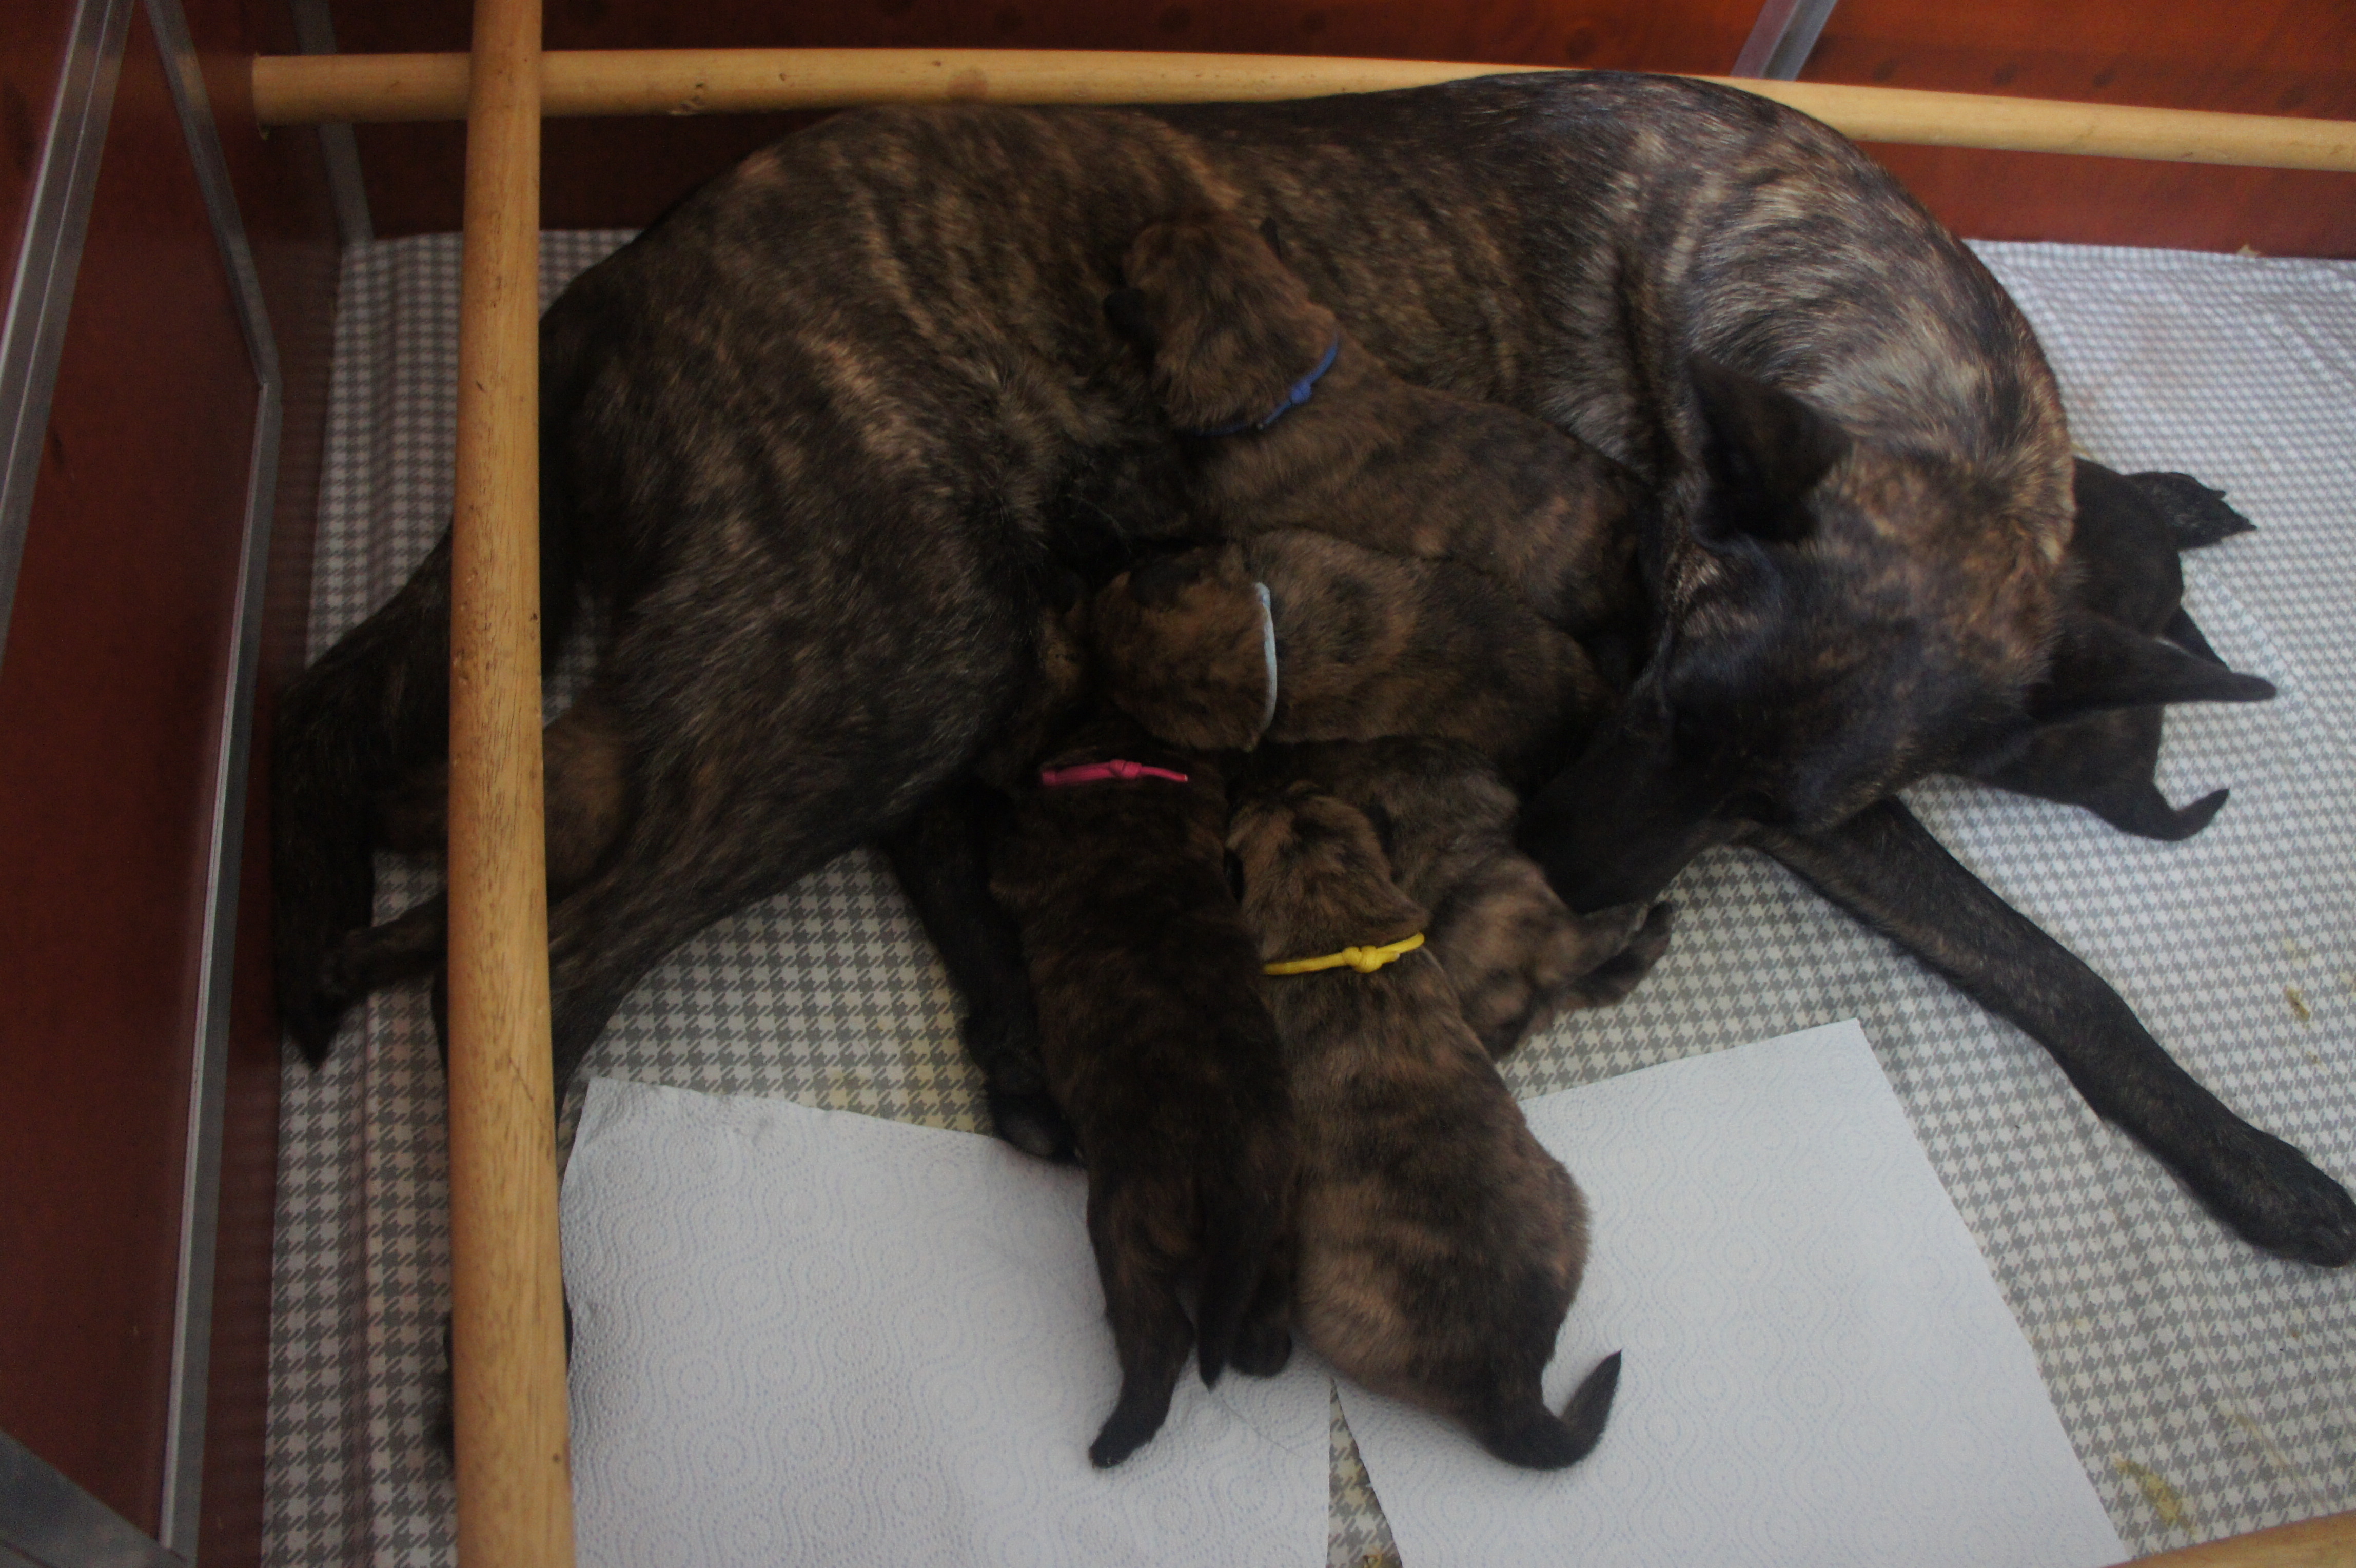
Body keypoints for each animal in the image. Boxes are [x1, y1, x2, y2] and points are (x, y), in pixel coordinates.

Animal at [273, 75, 2354, 1264]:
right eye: (1654, 667)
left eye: (1742, 774)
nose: (1557, 868)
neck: (1911, 364)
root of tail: (603, 281)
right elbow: (2052, 965)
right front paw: (2255, 1161)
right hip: (890, 644)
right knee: (537, 953)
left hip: (930, 639)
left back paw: (1022, 1054)